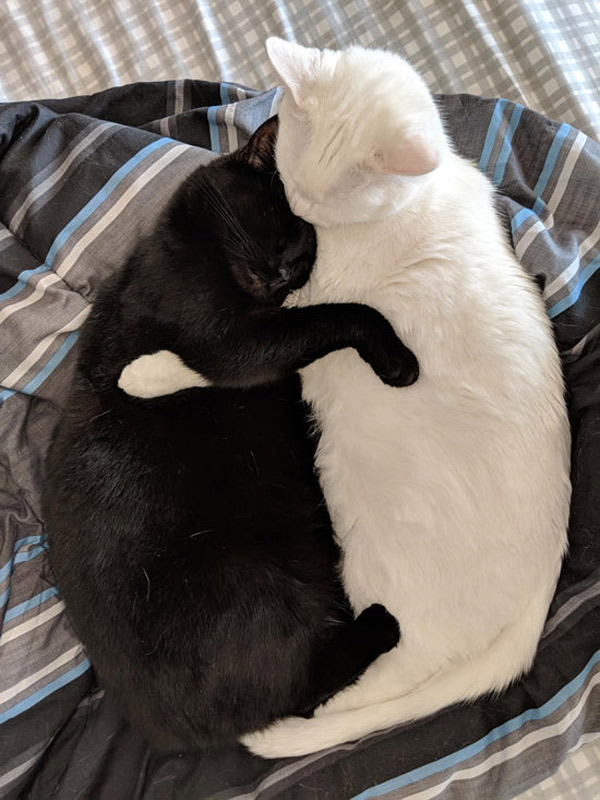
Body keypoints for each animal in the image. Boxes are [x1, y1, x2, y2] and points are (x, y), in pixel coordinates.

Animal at [43, 117, 418, 752]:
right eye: (280, 221)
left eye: (304, 259)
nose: (286, 268)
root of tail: (174, 731)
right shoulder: (228, 341)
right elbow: (340, 312)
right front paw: (397, 358)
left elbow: (319, 318)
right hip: (249, 580)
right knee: (299, 691)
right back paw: (379, 624)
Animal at [234, 39, 572, 756]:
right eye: (290, 186)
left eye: (318, 206)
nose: (297, 219)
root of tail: (539, 595)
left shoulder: (297, 304)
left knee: (361, 681)